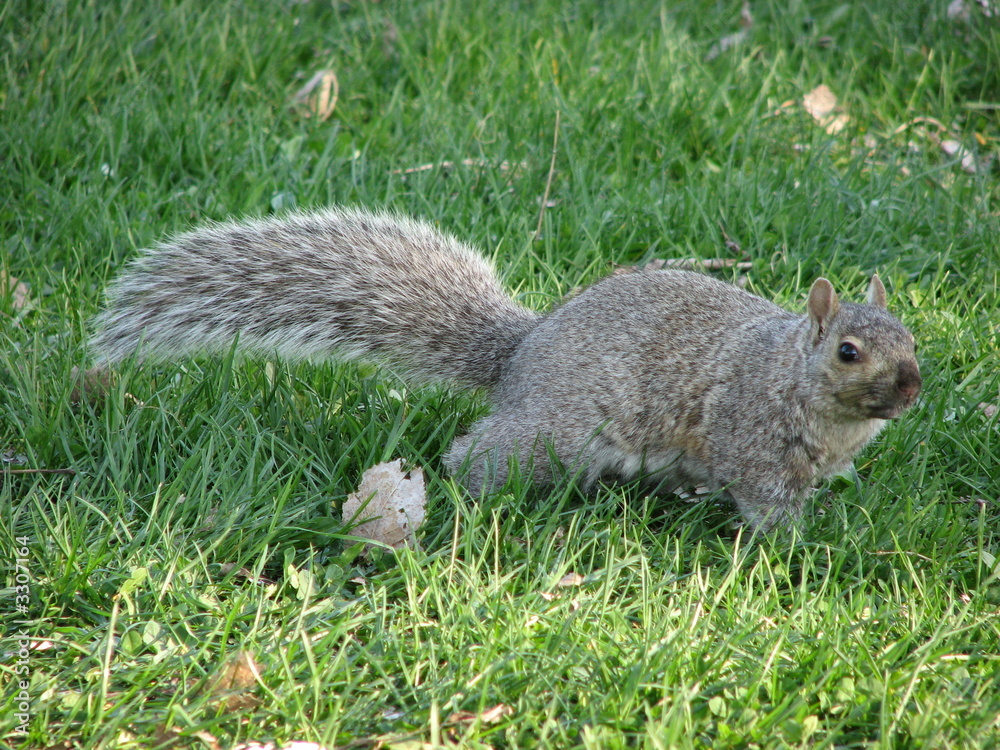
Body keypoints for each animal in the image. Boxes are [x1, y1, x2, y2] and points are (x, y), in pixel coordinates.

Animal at [91, 206, 922, 530]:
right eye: (848, 352)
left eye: (913, 339)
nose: (911, 390)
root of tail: (520, 354)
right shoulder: (751, 440)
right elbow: (769, 505)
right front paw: (796, 551)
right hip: (555, 433)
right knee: (478, 451)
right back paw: (465, 492)